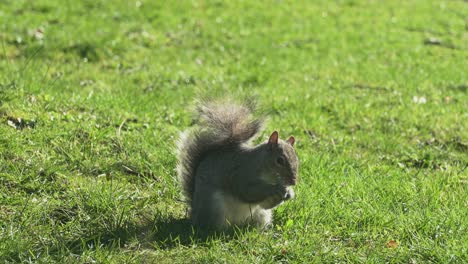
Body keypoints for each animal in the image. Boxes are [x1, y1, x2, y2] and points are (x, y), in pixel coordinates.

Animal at [176, 99, 300, 229]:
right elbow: (248, 190)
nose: (293, 182)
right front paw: (277, 188)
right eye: (279, 160)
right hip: (213, 207)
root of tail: (194, 214)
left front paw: (290, 193)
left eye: (297, 159)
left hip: (261, 215)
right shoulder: (241, 173)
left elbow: (265, 204)